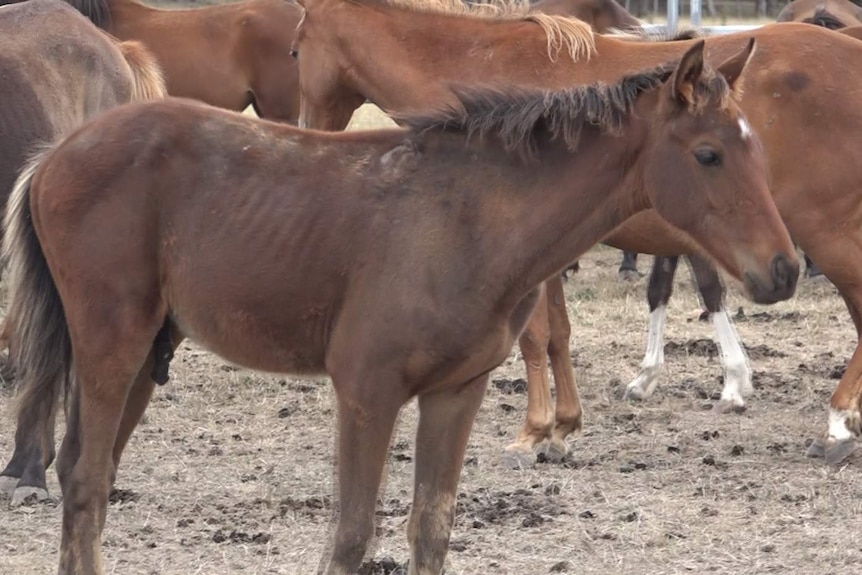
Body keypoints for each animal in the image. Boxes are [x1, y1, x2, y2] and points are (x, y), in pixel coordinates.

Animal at [5, 40, 796, 572]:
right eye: (707, 155)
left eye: (759, 152)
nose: (784, 269)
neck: (469, 220)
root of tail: (52, 157)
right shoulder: (367, 390)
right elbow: (351, 534)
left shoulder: (456, 392)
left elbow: (431, 528)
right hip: (112, 344)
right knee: (84, 479)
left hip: (148, 353)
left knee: (86, 474)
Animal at [294, 0, 862, 466]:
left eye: (295, 49)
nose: (304, 132)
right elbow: (558, 333)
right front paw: (564, 426)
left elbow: (534, 335)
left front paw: (533, 432)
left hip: (825, 230)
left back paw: (836, 424)